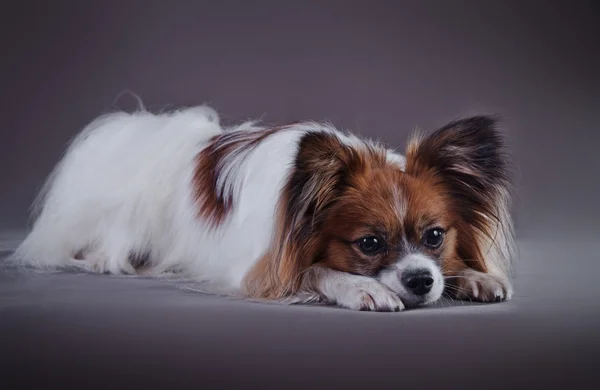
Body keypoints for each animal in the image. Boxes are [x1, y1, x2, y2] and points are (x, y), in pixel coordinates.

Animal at [10, 104, 516, 310]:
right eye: (370, 244)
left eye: (435, 236)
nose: (421, 281)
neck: (293, 194)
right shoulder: (260, 270)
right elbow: (316, 270)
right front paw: (362, 288)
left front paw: (475, 276)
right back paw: (103, 259)